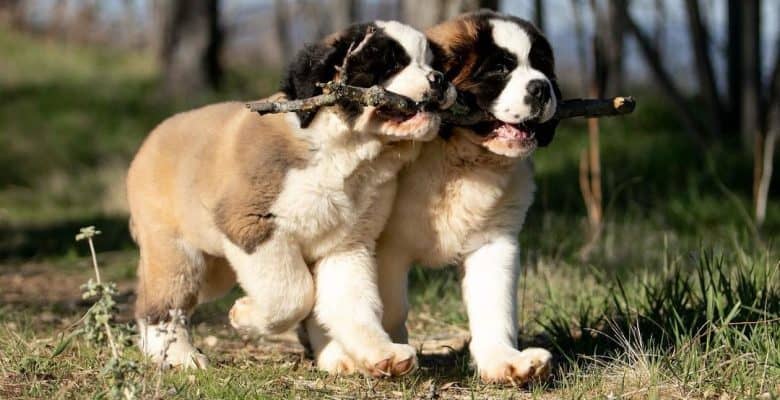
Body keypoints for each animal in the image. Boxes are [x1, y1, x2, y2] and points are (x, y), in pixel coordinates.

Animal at [126, 19, 450, 376]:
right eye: (391, 64)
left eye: (431, 63)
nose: (439, 79)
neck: (345, 154)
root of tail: (152, 138)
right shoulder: (255, 228)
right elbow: (293, 294)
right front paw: (244, 314)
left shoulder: (347, 244)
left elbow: (352, 303)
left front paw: (380, 353)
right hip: (174, 249)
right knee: (163, 301)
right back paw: (177, 355)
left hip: (214, 268)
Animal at [304, 10, 560, 382]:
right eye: (500, 68)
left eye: (542, 66)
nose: (542, 87)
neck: (460, 160)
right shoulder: (384, 246)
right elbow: (386, 304)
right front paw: (387, 350)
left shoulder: (495, 242)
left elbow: (494, 305)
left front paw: (502, 360)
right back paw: (336, 354)